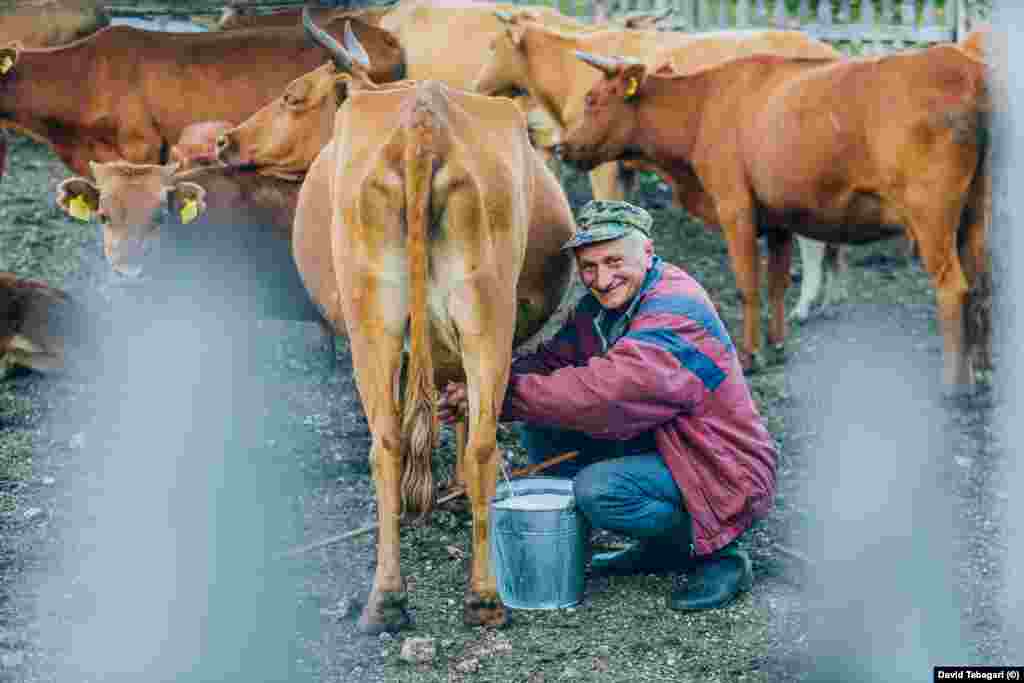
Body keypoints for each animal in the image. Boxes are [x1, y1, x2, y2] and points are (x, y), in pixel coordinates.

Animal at [296, 13, 581, 634]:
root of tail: (423, 116)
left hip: (393, 321)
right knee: (451, 443)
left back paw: (423, 598)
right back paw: (441, 597)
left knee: (409, 442)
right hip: (465, 317)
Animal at [471, 13, 847, 323]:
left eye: (493, 45)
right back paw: (831, 298)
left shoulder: (604, 165)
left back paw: (805, 305)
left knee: (812, 242)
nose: (475, 88)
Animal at [557, 46, 987, 389]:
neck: (703, 108)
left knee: (953, 287)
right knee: (981, 283)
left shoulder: (735, 208)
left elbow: (748, 285)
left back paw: (954, 383)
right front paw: (778, 346)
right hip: (975, 213)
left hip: (931, 215)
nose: (562, 147)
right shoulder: (780, 219)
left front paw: (751, 357)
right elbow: (778, 283)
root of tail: (964, 65)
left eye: (593, 99)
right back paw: (980, 371)